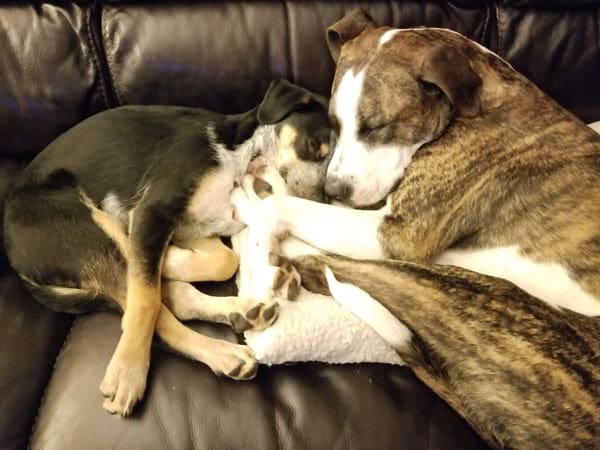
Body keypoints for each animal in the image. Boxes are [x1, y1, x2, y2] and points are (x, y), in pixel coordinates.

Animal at [4, 79, 330, 416]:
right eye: (315, 146)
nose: (319, 205)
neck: (235, 155)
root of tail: (14, 255)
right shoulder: (154, 212)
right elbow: (147, 298)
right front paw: (128, 369)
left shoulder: (192, 225)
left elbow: (223, 259)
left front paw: (171, 260)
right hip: (86, 225)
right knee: (143, 304)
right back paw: (158, 367)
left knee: (170, 297)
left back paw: (241, 313)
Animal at [238, 10, 600, 450]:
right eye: (334, 125)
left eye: (377, 127)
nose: (334, 190)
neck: (470, 100)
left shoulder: (395, 232)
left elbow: (279, 206)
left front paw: (260, 261)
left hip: (472, 295)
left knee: (324, 263)